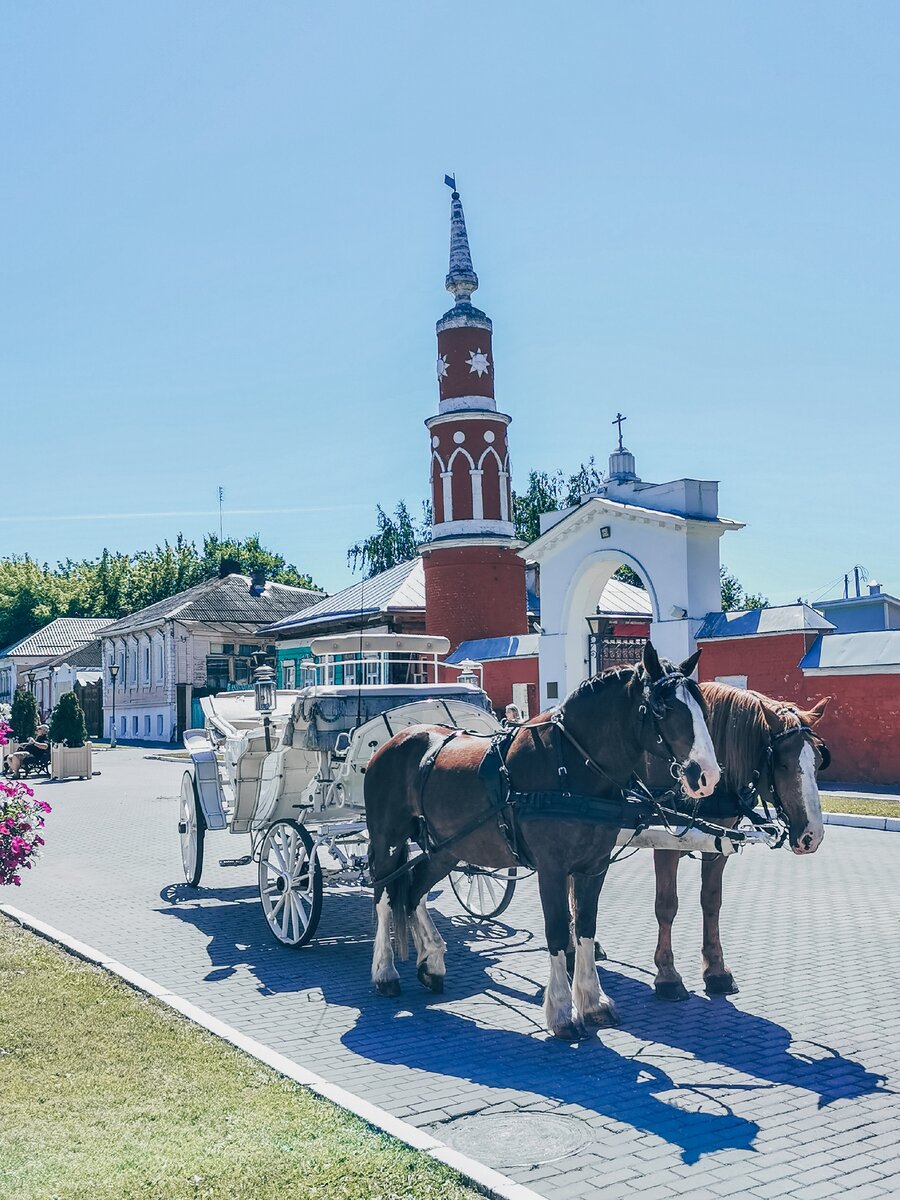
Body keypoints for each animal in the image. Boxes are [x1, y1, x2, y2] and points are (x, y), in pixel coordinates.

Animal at [362, 643, 724, 1036]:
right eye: (662, 708)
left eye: (703, 708)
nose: (707, 775)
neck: (571, 767)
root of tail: (397, 740)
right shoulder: (552, 868)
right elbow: (556, 930)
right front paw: (563, 1012)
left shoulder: (594, 867)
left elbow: (585, 926)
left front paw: (592, 1001)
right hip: (388, 839)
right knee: (385, 896)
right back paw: (385, 973)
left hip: (447, 848)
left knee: (414, 893)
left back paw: (431, 962)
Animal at [648, 686, 830, 1003]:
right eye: (783, 763)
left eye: (818, 762)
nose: (812, 836)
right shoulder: (665, 843)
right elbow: (667, 905)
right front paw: (668, 975)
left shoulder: (720, 842)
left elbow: (711, 901)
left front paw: (716, 969)